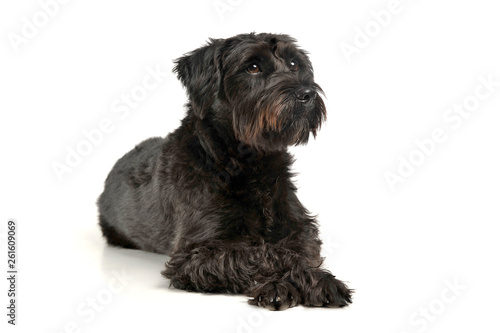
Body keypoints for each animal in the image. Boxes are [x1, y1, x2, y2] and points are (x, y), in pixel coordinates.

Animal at [97, 32, 354, 310]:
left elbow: (301, 251)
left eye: (294, 64)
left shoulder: (300, 227)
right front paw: (278, 285)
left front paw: (317, 278)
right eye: (253, 67)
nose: (306, 93)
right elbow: (260, 254)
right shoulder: (195, 254)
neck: (251, 164)